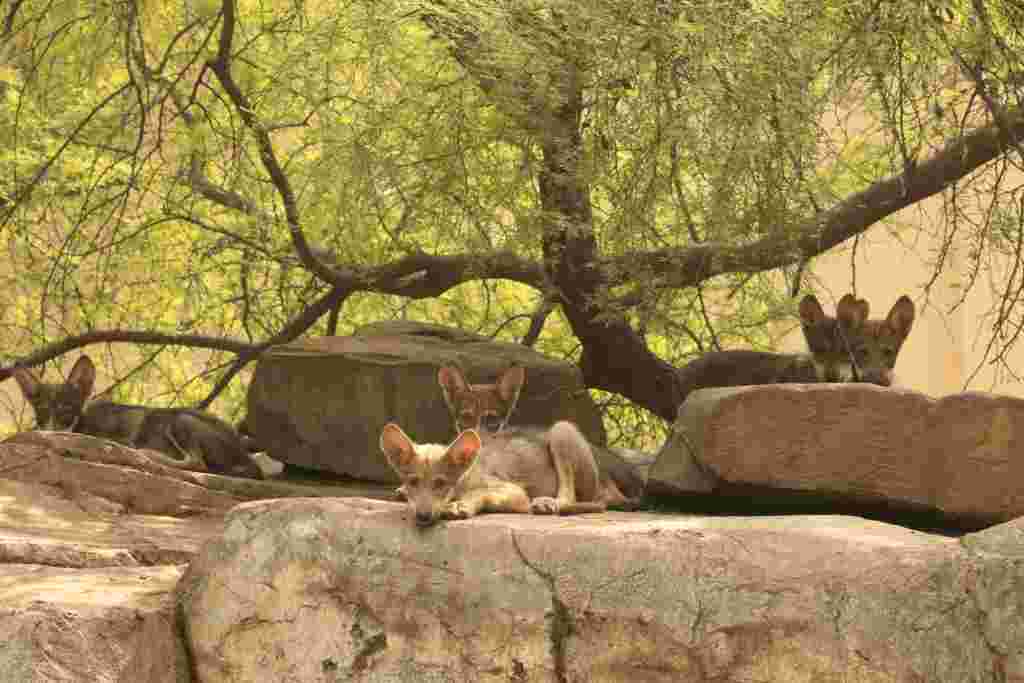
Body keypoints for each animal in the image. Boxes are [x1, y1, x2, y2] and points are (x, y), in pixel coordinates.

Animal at [12, 354, 263, 479]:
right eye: (41, 410)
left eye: (66, 407)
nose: (49, 431)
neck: (81, 423)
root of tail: (247, 459)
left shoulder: (119, 436)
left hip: (182, 420)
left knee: (197, 463)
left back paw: (149, 454)